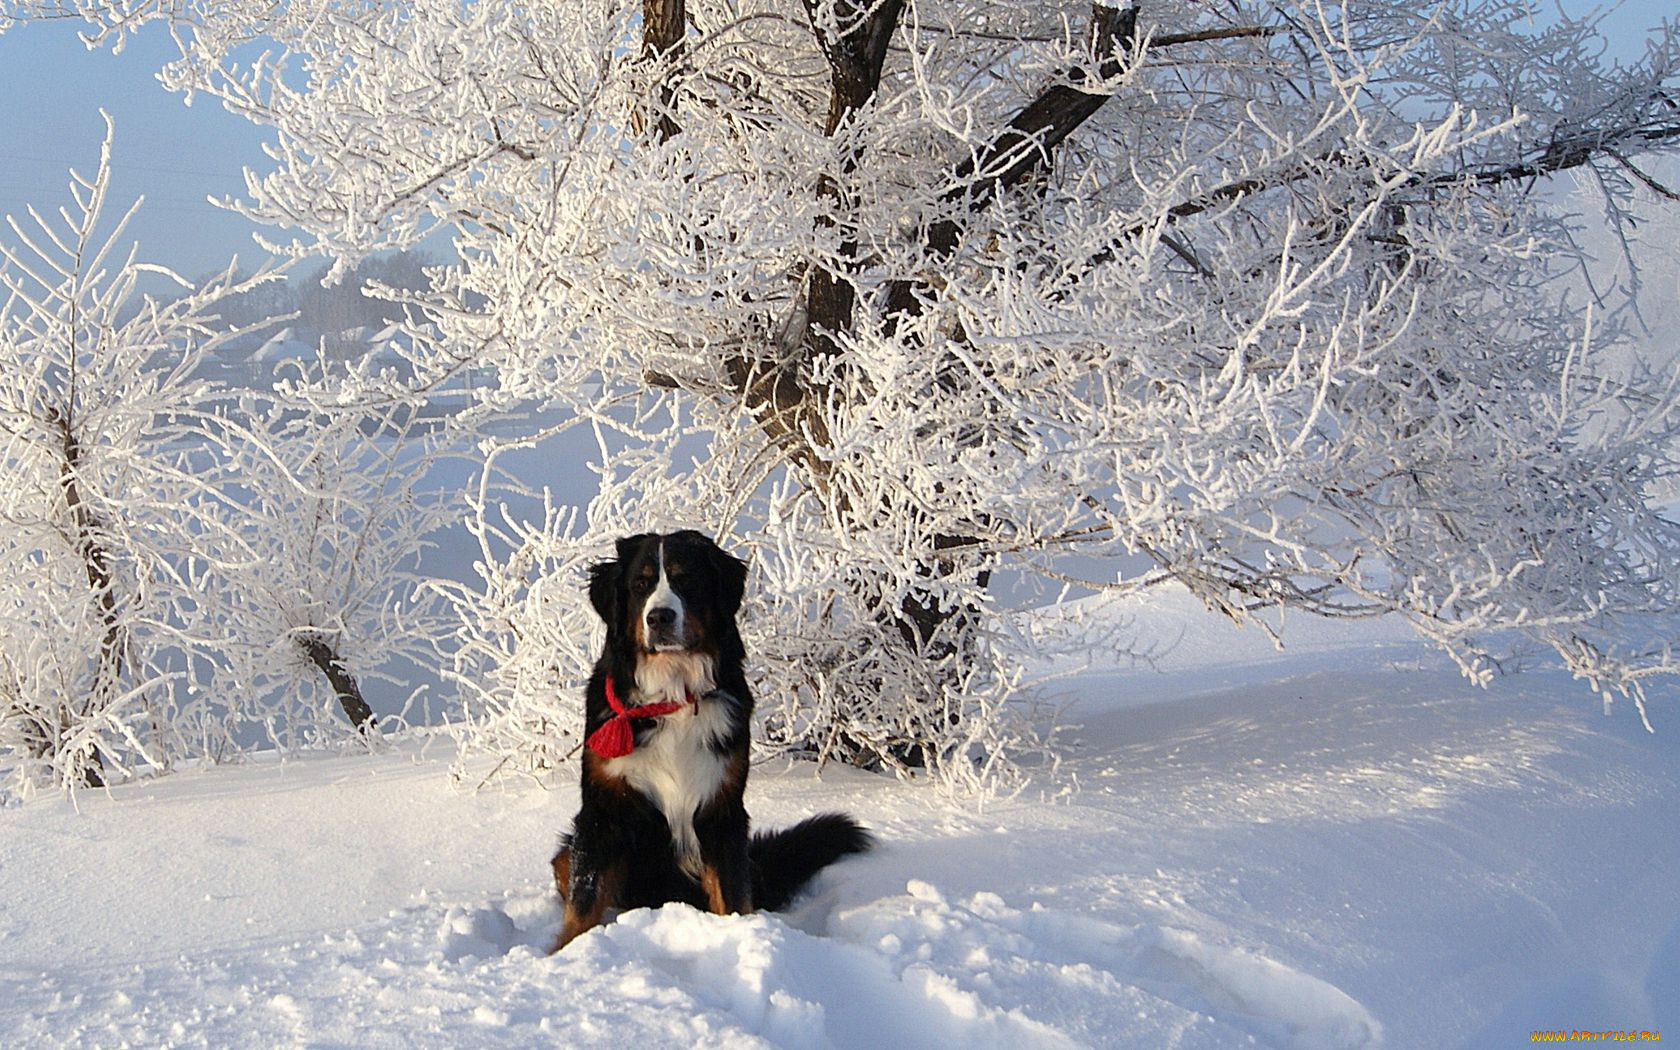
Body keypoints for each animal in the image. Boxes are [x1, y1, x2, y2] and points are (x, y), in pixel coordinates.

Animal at [551, 527, 873, 947]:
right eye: (641, 584)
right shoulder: (602, 811)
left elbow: (732, 895)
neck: (673, 695)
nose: (660, 617)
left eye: (686, 579)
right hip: (567, 850)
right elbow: (584, 902)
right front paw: (566, 952)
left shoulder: (721, 809)